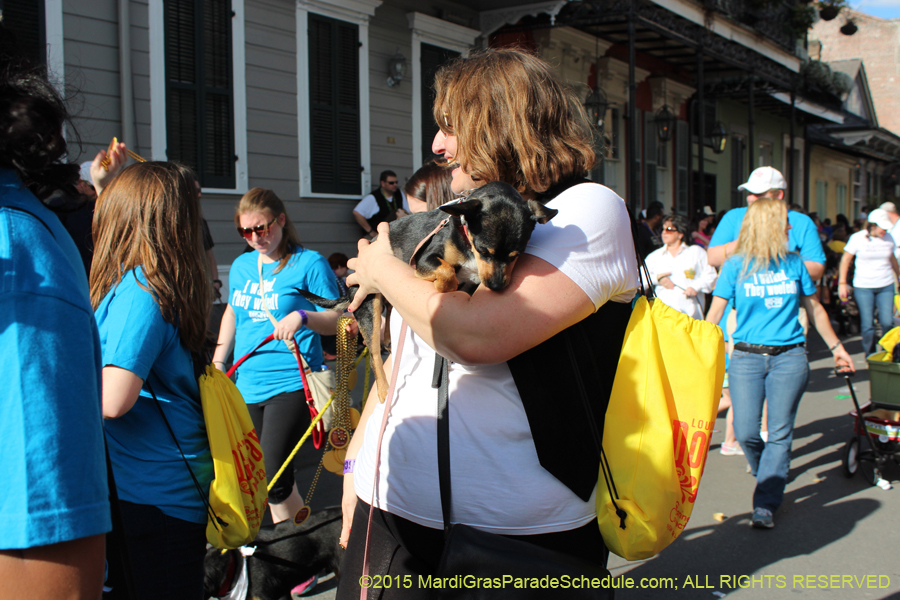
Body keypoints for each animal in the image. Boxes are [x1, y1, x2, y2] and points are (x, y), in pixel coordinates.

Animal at [298, 180, 560, 400]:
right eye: (483, 250)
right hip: (368, 303)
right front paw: (445, 287)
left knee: (390, 311)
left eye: (517, 255)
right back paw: (383, 389)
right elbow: (447, 271)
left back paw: (389, 339)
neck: (465, 237)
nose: (496, 286)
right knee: (373, 353)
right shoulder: (424, 261)